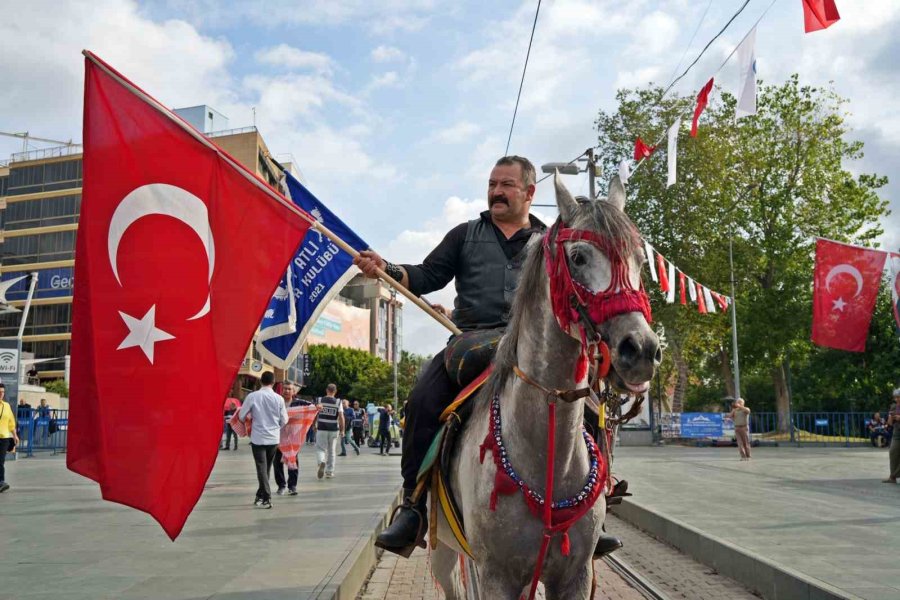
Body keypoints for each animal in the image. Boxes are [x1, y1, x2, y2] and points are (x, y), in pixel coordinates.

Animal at [430, 173, 660, 600]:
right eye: (579, 258)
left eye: (640, 261)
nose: (641, 350)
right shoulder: (496, 576)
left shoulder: (575, 575)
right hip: (443, 548)